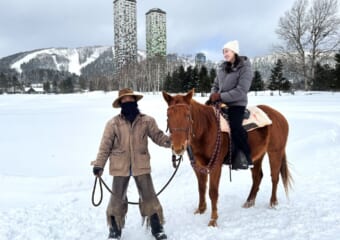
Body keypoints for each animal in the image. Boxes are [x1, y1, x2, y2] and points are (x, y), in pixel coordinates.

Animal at [162, 89, 292, 227]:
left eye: (187, 115)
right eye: (168, 116)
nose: (178, 147)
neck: (206, 130)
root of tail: (279, 116)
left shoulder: (216, 166)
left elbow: (213, 192)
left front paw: (213, 220)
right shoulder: (198, 166)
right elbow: (201, 188)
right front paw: (200, 210)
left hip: (275, 152)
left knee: (275, 177)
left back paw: (273, 203)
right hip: (257, 156)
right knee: (257, 177)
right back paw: (249, 202)